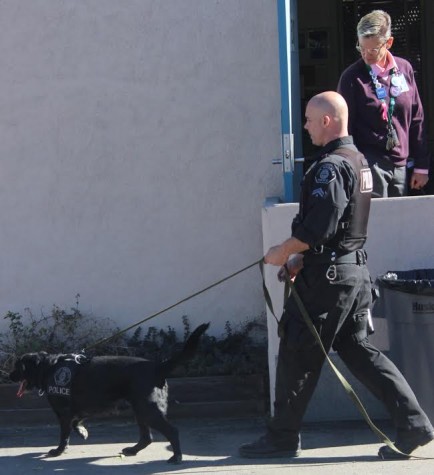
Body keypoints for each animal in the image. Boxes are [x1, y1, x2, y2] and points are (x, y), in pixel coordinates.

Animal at [8, 322, 209, 462]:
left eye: (17, 367)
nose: (9, 375)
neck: (49, 367)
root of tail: (156, 366)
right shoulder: (81, 408)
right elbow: (76, 422)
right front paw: (82, 432)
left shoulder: (64, 413)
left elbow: (64, 435)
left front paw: (58, 451)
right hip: (140, 409)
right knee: (147, 437)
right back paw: (132, 450)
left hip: (147, 409)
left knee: (172, 431)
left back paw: (176, 457)